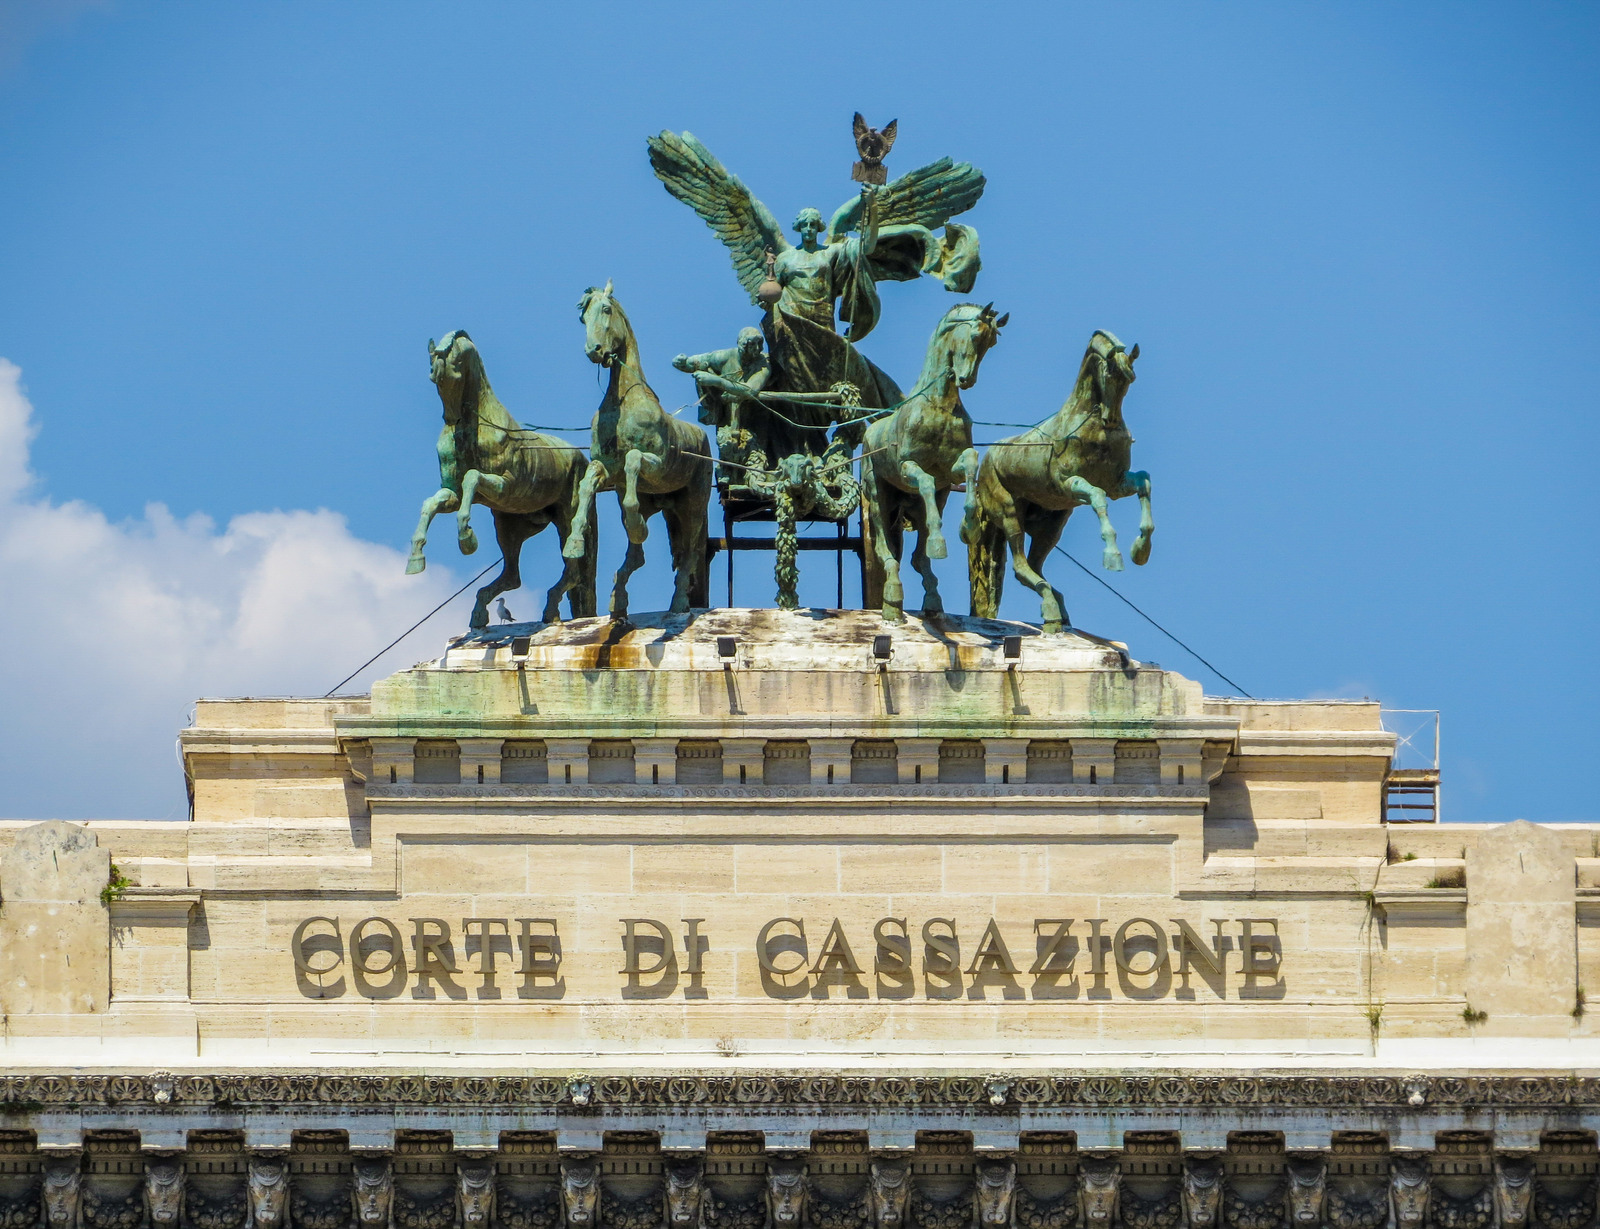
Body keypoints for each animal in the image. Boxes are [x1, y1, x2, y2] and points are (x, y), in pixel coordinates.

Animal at [406, 331, 595, 627]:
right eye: (432, 375)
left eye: (455, 365)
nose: (450, 418)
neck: (473, 427)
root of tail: (582, 459)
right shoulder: (453, 493)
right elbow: (432, 503)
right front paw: (416, 558)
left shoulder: (505, 486)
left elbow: (472, 478)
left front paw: (466, 538)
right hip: (509, 526)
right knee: (512, 576)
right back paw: (480, 611)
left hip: (567, 517)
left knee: (574, 570)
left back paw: (550, 610)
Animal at [566, 283, 710, 620]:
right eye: (583, 317)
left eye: (606, 309)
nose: (594, 350)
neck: (625, 403)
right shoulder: (609, 471)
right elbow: (587, 482)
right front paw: (574, 542)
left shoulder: (654, 464)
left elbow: (633, 460)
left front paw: (638, 527)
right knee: (638, 557)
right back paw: (618, 601)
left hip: (693, 506)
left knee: (691, 551)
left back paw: (678, 604)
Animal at [864, 302, 998, 620]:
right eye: (975, 335)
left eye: (992, 342)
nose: (966, 379)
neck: (938, 406)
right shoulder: (908, 467)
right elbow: (925, 479)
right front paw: (939, 541)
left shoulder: (949, 475)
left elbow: (971, 462)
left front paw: (970, 526)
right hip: (878, 496)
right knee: (886, 549)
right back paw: (893, 594)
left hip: (927, 500)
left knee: (917, 558)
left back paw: (932, 599)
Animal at [960, 329, 1152, 633]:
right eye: (1109, 372)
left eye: (1130, 378)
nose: (1110, 420)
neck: (1087, 422)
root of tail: (985, 466)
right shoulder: (1069, 484)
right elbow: (1097, 497)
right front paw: (1113, 555)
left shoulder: (1117, 484)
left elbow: (1144, 482)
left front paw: (1140, 550)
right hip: (1008, 513)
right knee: (1020, 566)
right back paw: (1051, 608)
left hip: (1051, 526)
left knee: (1035, 565)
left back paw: (1056, 609)